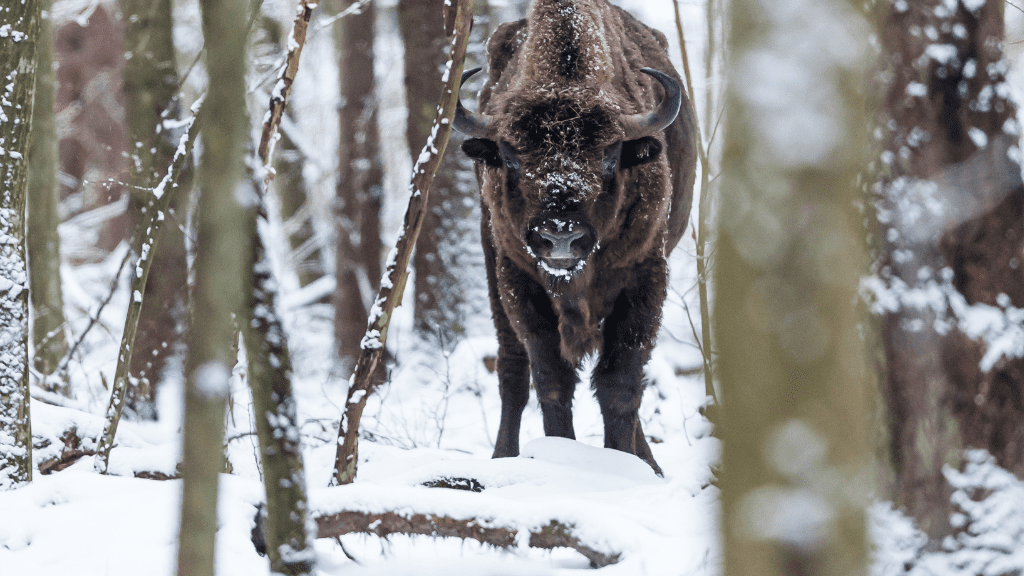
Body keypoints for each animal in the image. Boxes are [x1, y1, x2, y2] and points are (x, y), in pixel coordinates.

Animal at [456, 0, 696, 475]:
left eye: (609, 156)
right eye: (510, 157)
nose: (561, 238)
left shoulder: (645, 277)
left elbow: (621, 383)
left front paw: (627, 466)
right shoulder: (518, 280)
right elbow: (552, 379)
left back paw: (650, 463)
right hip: (492, 265)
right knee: (512, 368)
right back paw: (502, 456)